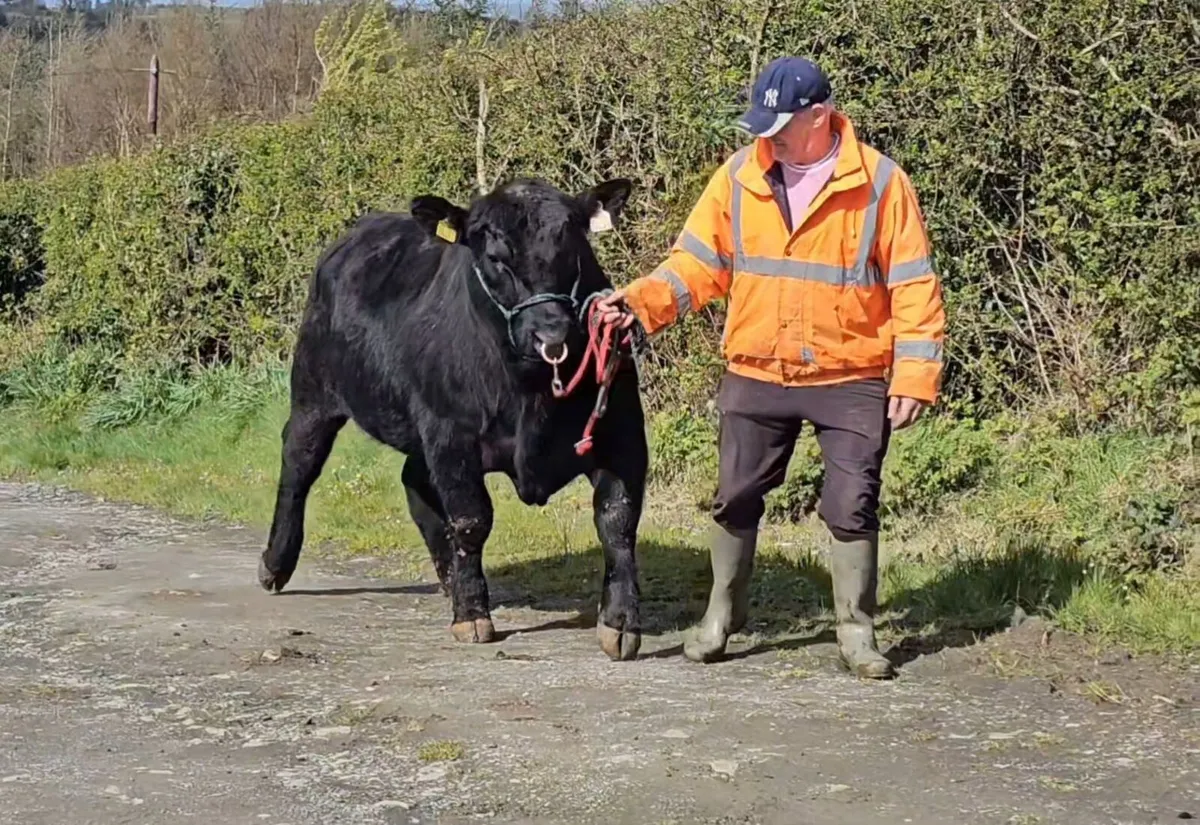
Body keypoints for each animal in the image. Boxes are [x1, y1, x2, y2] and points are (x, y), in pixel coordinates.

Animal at [256, 176, 648, 661]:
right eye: (495, 258)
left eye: (574, 248)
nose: (552, 333)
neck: (531, 390)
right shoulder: (451, 437)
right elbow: (471, 520)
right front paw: (472, 615)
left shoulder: (622, 433)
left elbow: (618, 520)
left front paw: (620, 622)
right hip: (314, 393)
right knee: (298, 466)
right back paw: (275, 564)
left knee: (413, 480)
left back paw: (449, 579)